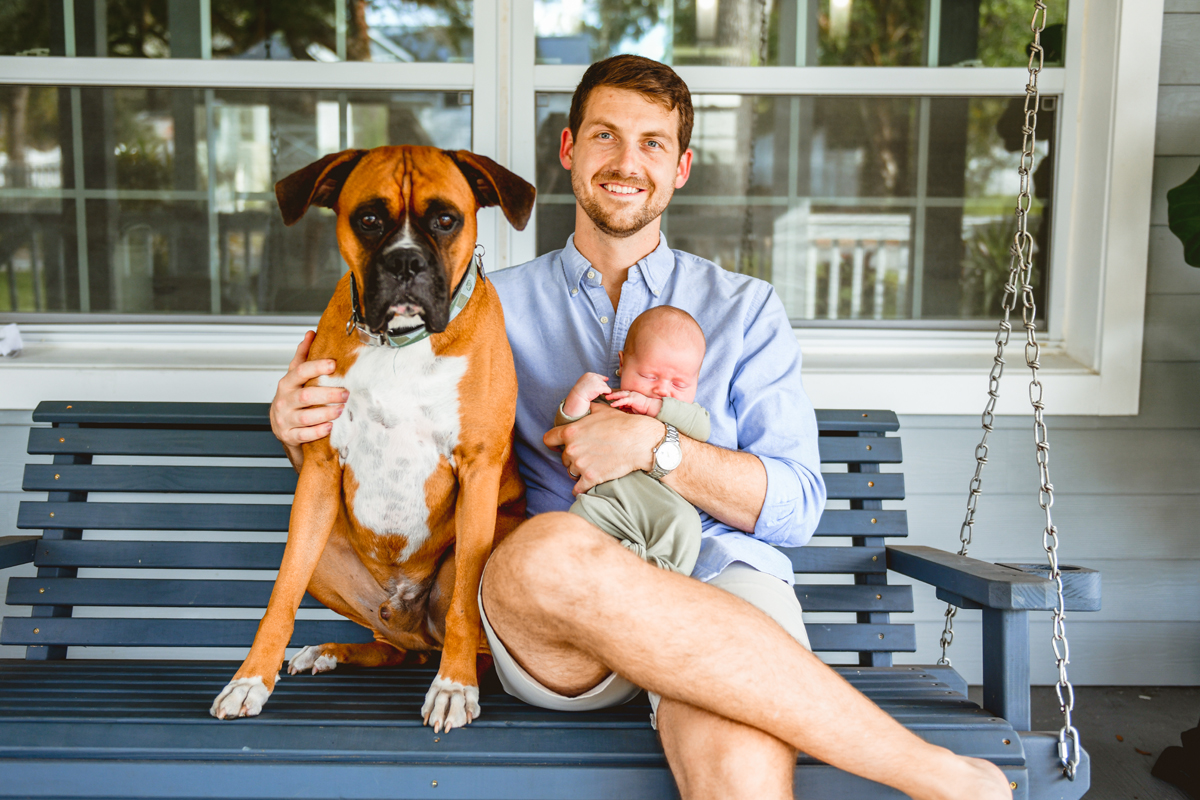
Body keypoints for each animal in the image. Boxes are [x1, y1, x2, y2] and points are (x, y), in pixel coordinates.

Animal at [211, 146, 535, 734]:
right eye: (368, 219)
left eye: (445, 220)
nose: (405, 262)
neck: (398, 344)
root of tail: (406, 612)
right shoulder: (319, 471)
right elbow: (282, 592)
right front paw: (249, 680)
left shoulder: (478, 468)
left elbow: (463, 607)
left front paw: (454, 689)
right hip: (331, 564)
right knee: (394, 646)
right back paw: (333, 651)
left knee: (461, 637)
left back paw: (460, 672)